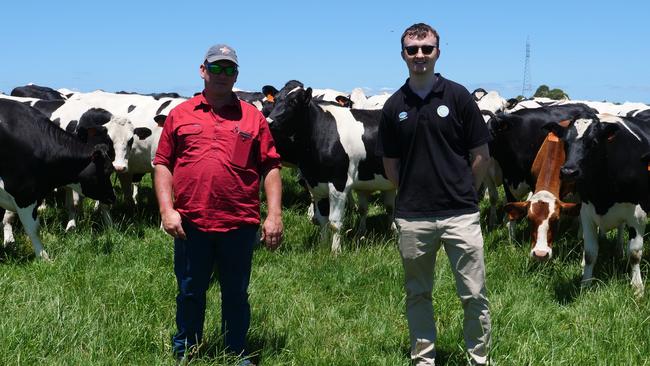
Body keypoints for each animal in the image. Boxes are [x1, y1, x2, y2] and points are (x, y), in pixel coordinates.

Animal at [548, 116, 648, 296]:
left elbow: (635, 253)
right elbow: (590, 253)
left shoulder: (638, 214)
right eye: (565, 142)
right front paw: (585, 284)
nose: (568, 172)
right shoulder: (587, 212)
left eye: (593, 143)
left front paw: (637, 287)